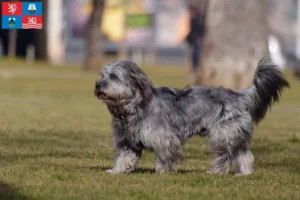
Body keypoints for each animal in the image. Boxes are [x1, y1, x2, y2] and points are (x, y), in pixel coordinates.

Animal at [95, 58, 290, 175]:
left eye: (114, 76)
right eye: (102, 75)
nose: (98, 85)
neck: (135, 107)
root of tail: (238, 95)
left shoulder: (165, 139)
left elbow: (165, 157)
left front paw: (162, 173)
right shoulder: (128, 141)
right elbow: (124, 158)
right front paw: (116, 171)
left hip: (222, 135)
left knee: (226, 157)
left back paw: (218, 172)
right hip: (231, 135)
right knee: (244, 154)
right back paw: (244, 173)